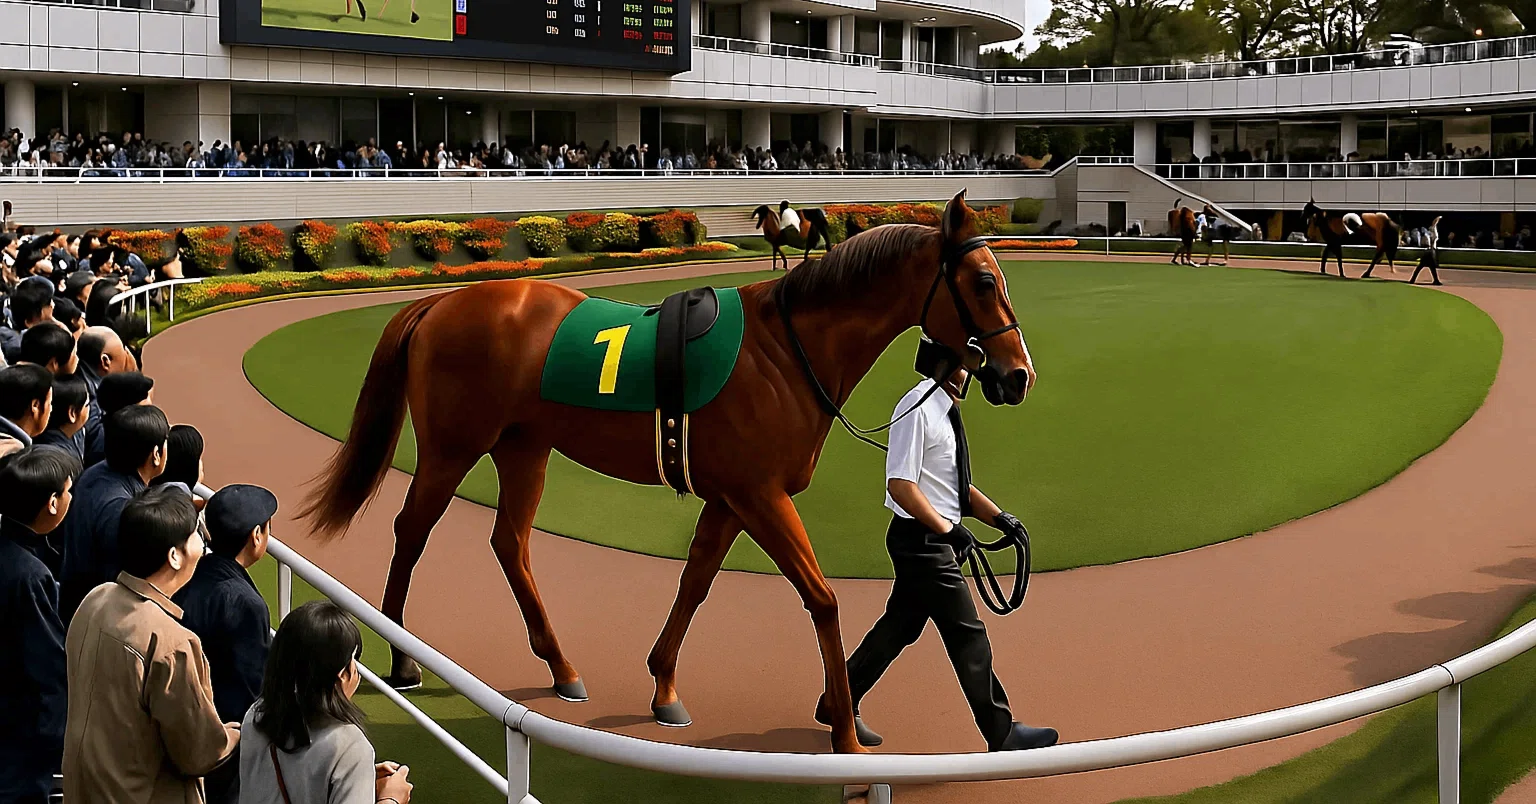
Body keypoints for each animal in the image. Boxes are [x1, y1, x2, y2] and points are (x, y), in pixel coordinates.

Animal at [298, 191, 1035, 754]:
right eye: (983, 281)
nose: (1019, 376)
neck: (787, 350)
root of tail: (440, 303)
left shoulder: (731, 497)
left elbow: (696, 580)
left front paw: (664, 688)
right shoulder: (759, 493)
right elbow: (822, 599)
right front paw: (847, 735)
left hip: (523, 448)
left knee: (509, 542)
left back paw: (561, 667)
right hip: (454, 448)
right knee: (412, 529)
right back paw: (401, 657)